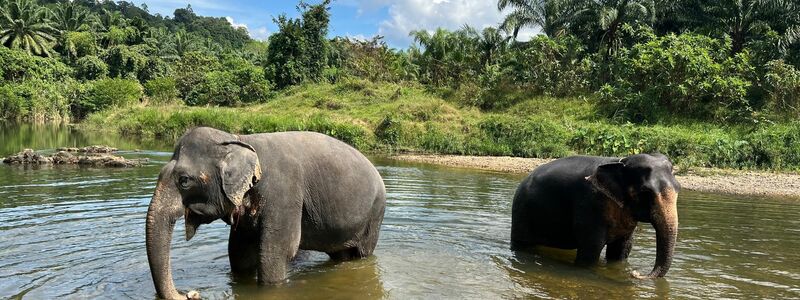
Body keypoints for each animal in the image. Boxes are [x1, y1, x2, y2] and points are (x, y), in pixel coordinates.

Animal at [148, 126, 390, 298]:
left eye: (184, 181)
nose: (190, 294)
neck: (240, 140)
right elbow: (238, 252)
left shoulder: (284, 194)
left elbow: (276, 252)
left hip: (374, 216)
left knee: (361, 254)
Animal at [510, 155, 680, 278]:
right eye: (645, 193)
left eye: (679, 188)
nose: (636, 273)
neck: (620, 161)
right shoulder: (590, 205)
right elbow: (591, 248)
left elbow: (621, 249)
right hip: (522, 213)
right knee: (523, 244)